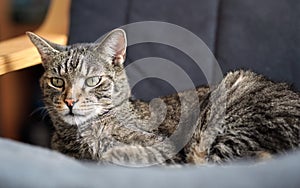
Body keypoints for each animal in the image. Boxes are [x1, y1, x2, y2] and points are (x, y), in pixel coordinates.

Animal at [27, 28, 298, 165]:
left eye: (93, 80)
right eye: (57, 81)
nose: (70, 101)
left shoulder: (166, 147)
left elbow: (130, 153)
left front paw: (107, 153)